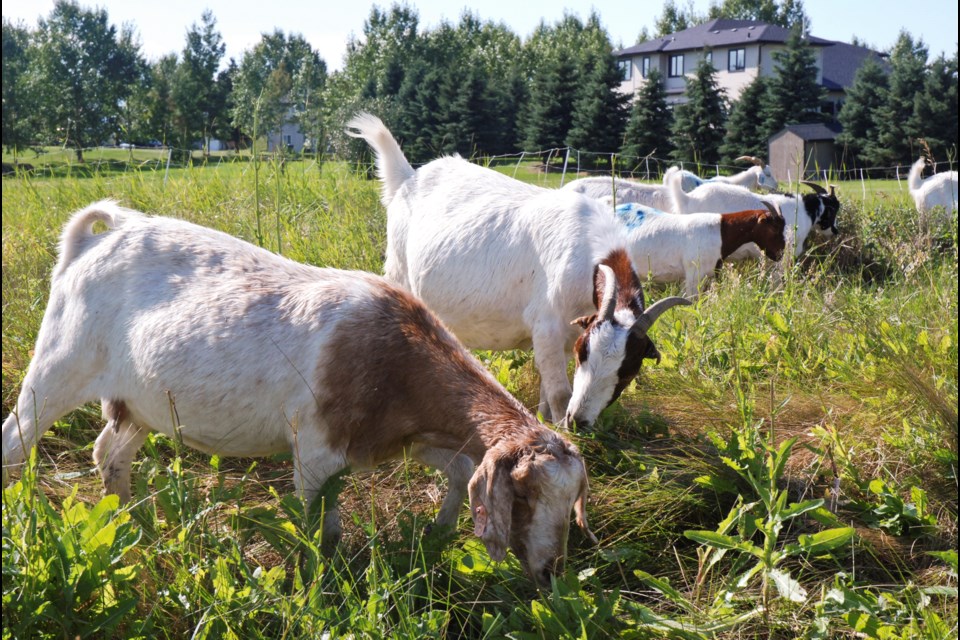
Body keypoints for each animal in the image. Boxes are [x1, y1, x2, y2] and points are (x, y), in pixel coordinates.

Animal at [0, 201, 596, 584]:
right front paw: (321, 584)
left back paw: (130, 523)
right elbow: (321, 528)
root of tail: (98, 235)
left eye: (572, 500)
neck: (393, 354)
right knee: (15, 442)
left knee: (109, 452)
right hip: (60, 362)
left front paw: (438, 534)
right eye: (522, 496)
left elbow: (456, 471)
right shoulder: (315, 452)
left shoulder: (406, 435)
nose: (551, 572)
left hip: (137, 404)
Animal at [348, 114, 688, 430]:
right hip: (398, 270)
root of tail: (407, 177)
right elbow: (560, 393)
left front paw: (550, 422)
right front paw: (564, 434)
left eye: (628, 370)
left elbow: (548, 392)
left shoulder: (568, 332)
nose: (579, 420)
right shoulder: (547, 326)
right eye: (585, 353)